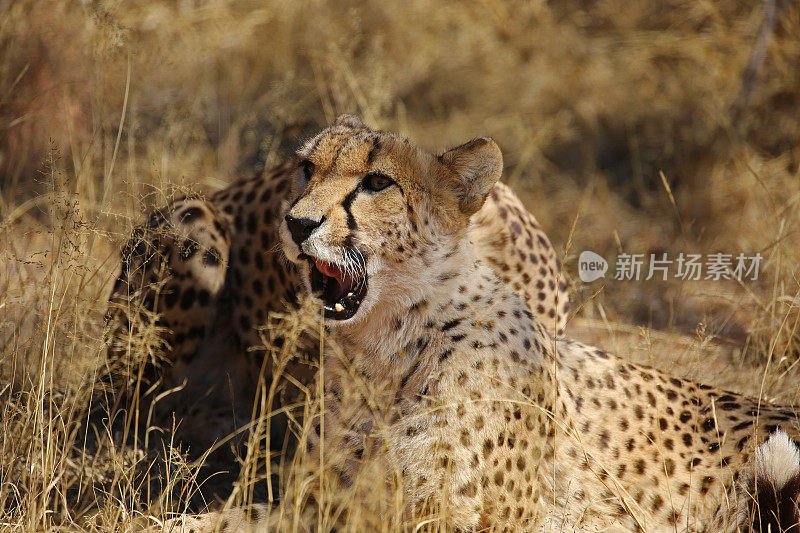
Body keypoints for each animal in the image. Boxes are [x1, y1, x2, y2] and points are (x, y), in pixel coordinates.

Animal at [164, 114, 800, 528]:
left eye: (377, 182)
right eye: (305, 167)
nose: (296, 223)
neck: (382, 347)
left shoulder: (460, 517)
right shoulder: (320, 498)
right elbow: (219, 519)